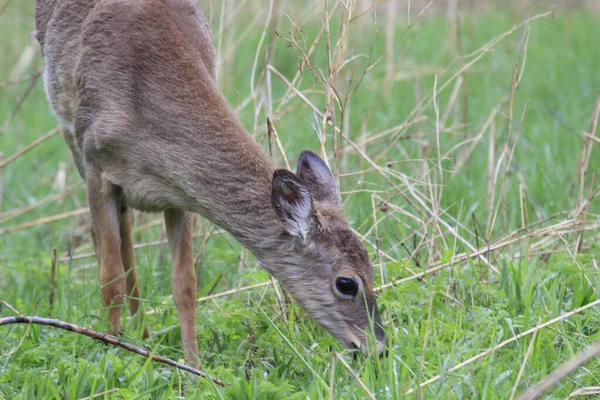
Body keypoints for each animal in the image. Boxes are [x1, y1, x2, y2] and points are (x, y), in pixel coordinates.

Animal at [35, 0, 386, 366]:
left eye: (374, 270)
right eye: (346, 283)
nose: (378, 348)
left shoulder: (178, 191)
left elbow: (185, 283)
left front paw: (193, 364)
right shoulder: (96, 163)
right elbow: (109, 279)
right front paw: (111, 352)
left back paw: (142, 335)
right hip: (72, 138)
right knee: (107, 246)